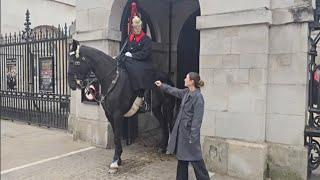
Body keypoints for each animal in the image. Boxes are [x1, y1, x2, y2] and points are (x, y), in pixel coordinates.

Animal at [68, 39, 176, 173]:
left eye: (73, 62)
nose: (71, 84)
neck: (111, 79)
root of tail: (167, 78)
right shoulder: (109, 115)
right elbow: (116, 136)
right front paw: (118, 159)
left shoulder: (117, 114)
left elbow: (117, 137)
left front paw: (115, 162)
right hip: (156, 109)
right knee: (163, 124)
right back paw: (162, 147)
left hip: (168, 106)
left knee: (169, 124)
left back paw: (169, 149)